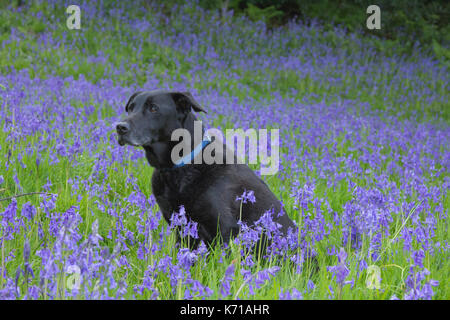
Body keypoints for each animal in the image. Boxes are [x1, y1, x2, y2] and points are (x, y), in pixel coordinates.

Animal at [116, 90, 296, 248]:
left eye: (153, 108)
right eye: (131, 108)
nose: (119, 127)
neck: (179, 167)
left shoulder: (224, 228)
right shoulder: (180, 226)